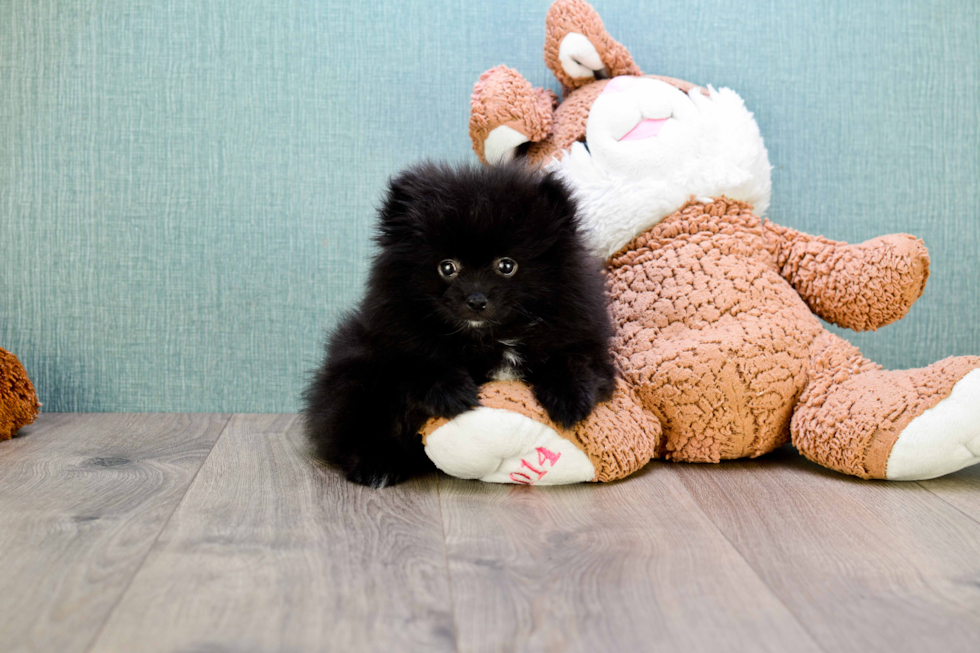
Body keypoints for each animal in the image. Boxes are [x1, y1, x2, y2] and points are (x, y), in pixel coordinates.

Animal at [302, 160, 616, 484]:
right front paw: (453, 391)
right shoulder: (392, 341)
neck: (489, 338)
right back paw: (376, 466)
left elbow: (573, 362)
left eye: (507, 266)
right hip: (354, 372)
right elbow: (417, 364)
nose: (476, 300)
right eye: (447, 267)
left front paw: (568, 399)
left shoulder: (582, 341)